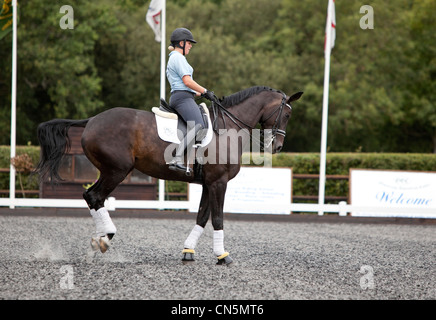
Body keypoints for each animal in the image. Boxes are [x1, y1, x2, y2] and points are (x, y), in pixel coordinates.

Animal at [35, 85, 304, 264]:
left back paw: (100, 239)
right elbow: (217, 218)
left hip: (110, 170)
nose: (278, 147)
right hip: (117, 170)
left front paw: (188, 252)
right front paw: (222, 256)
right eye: (287, 114)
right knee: (95, 196)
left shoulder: (208, 183)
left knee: (91, 196)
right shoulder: (219, 182)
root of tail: (92, 120)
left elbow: (201, 216)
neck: (228, 126)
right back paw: (105, 238)